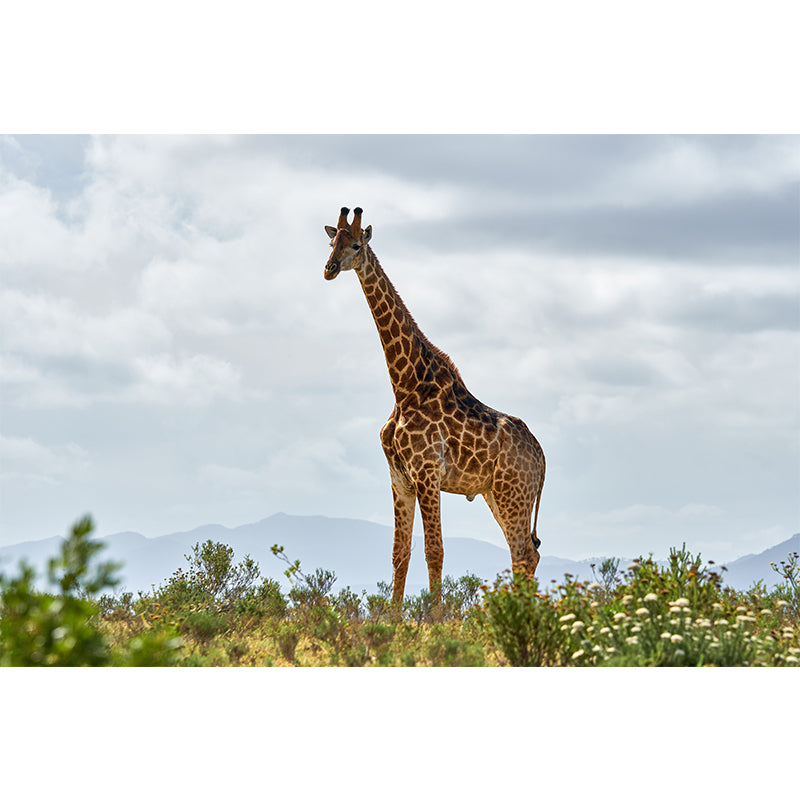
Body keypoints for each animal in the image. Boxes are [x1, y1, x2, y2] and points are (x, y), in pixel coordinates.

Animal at [324, 206, 545, 605]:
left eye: (357, 244)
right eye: (332, 242)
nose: (329, 268)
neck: (404, 386)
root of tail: (540, 454)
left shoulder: (428, 473)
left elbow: (435, 551)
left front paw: (435, 619)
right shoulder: (399, 477)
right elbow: (400, 552)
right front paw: (392, 619)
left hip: (514, 493)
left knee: (524, 553)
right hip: (497, 494)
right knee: (525, 553)